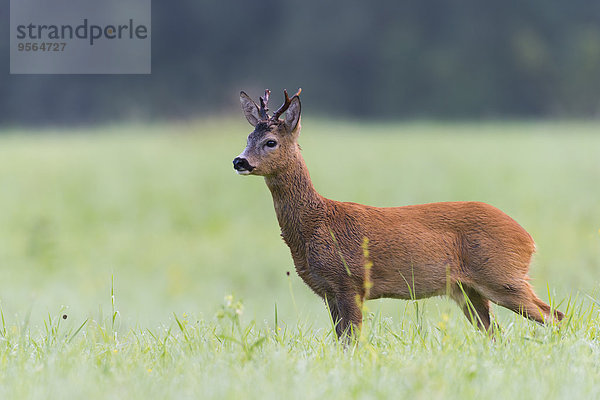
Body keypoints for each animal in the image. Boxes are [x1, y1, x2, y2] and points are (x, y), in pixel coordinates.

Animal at [232, 90, 564, 338]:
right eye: (248, 138)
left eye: (270, 142)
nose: (239, 161)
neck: (317, 222)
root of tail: (529, 240)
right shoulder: (329, 291)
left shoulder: (350, 281)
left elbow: (352, 340)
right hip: (468, 290)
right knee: (497, 333)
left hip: (502, 275)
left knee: (555, 315)